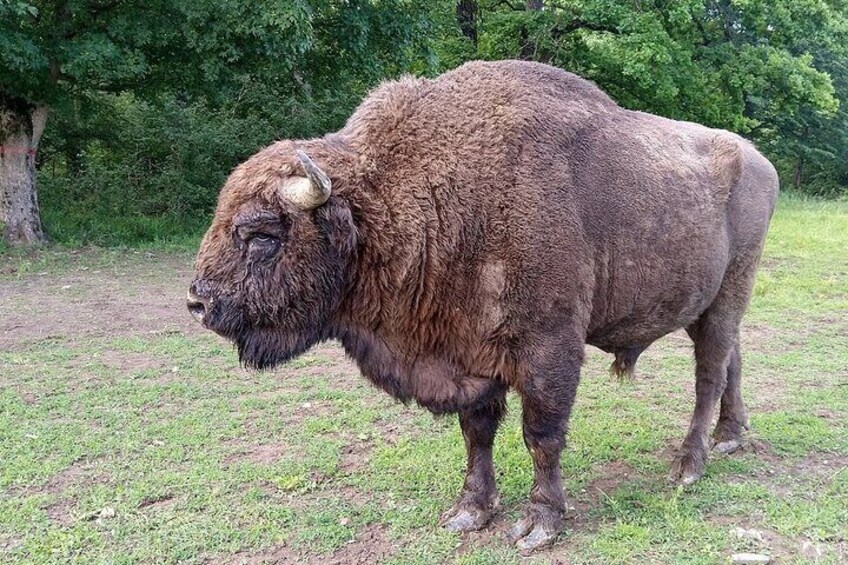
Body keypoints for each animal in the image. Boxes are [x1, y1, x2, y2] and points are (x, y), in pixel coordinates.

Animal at [188, 60, 778, 551]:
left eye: (262, 233)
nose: (197, 301)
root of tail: (759, 161)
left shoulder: (548, 351)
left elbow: (541, 435)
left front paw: (540, 524)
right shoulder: (467, 351)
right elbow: (477, 432)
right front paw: (470, 511)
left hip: (727, 295)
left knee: (708, 373)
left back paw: (689, 465)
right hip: (713, 304)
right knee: (732, 359)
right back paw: (730, 437)